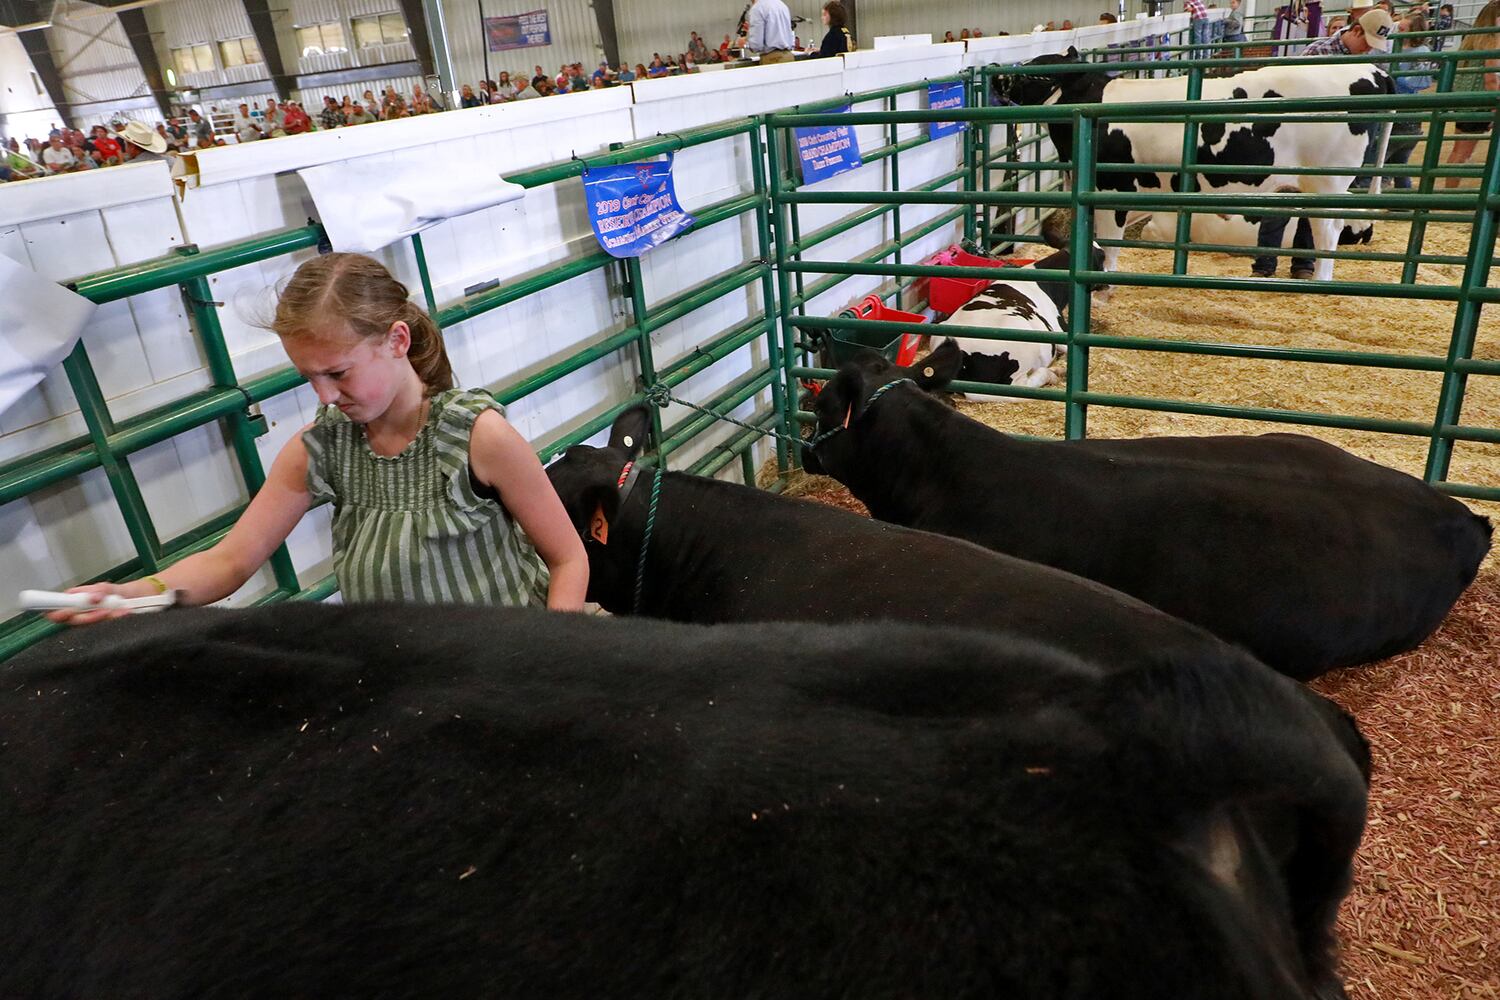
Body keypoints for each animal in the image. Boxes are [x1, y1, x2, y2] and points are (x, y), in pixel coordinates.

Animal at [996, 53, 1392, 283]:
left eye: (1033, 72)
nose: (999, 75)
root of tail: (1371, 70)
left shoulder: (1111, 186)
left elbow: (1108, 242)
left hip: (1327, 180)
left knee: (1329, 230)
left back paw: (1320, 281)